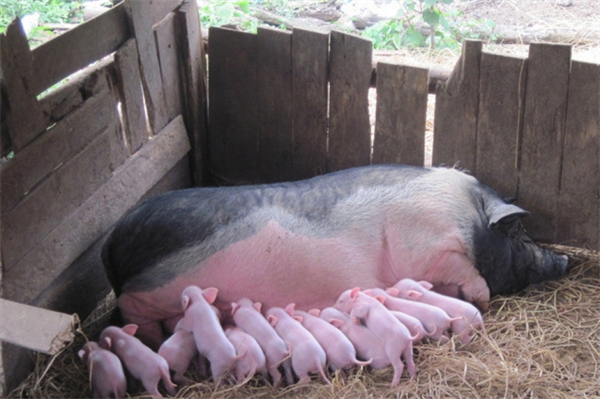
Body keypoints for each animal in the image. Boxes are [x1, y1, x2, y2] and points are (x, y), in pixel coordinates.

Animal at [102, 165, 568, 346]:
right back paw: (151, 338)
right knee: (130, 307)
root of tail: (110, 244)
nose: (563, 260)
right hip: (153, 289)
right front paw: (482, 301)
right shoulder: (429, 247)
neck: (469, 218)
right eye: (518, 233)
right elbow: (472, 276)